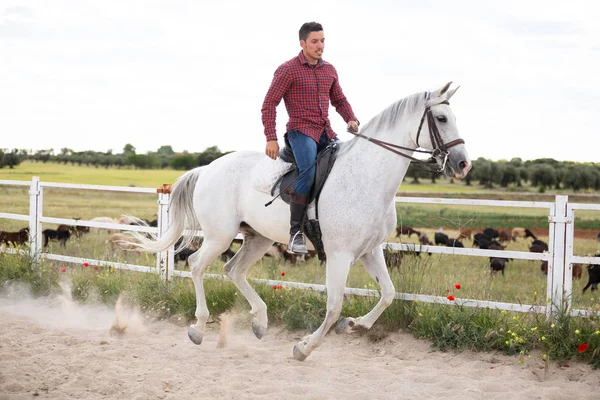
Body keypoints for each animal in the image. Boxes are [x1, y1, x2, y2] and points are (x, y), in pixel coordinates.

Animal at [134, 83, 472, 360]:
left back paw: (260, 322)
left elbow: (388, 294)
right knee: (196, 265)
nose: (463, 164)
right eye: (442, 118)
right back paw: (199, 328)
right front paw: (305, 347)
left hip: (258, 238)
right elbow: (334, 306)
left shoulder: (370, 250)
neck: (366, 177)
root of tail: (207, 168)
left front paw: (353, 325)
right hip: (220, 236)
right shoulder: (340, 255)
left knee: (233, 270)